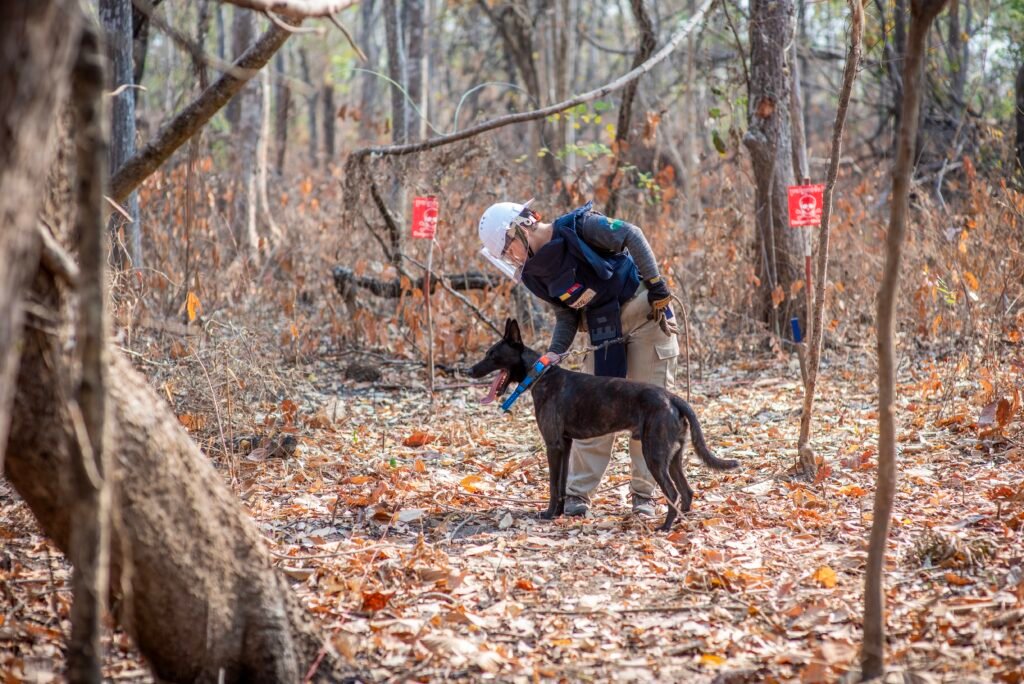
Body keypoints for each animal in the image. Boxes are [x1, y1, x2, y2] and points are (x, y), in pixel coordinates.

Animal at [468, 317, 741, 532]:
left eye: (492, 355)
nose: (468, 371)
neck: (540, 375)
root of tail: (672, 398)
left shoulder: (553, 445)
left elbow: (554, 485)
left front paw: (548, 514)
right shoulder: (565, 445)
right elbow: (562, 484)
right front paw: (558, 513)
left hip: (653, 454)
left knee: (673, 493)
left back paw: (664, 527)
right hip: (672, 457)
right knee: (687, 491)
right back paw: (680, 523)